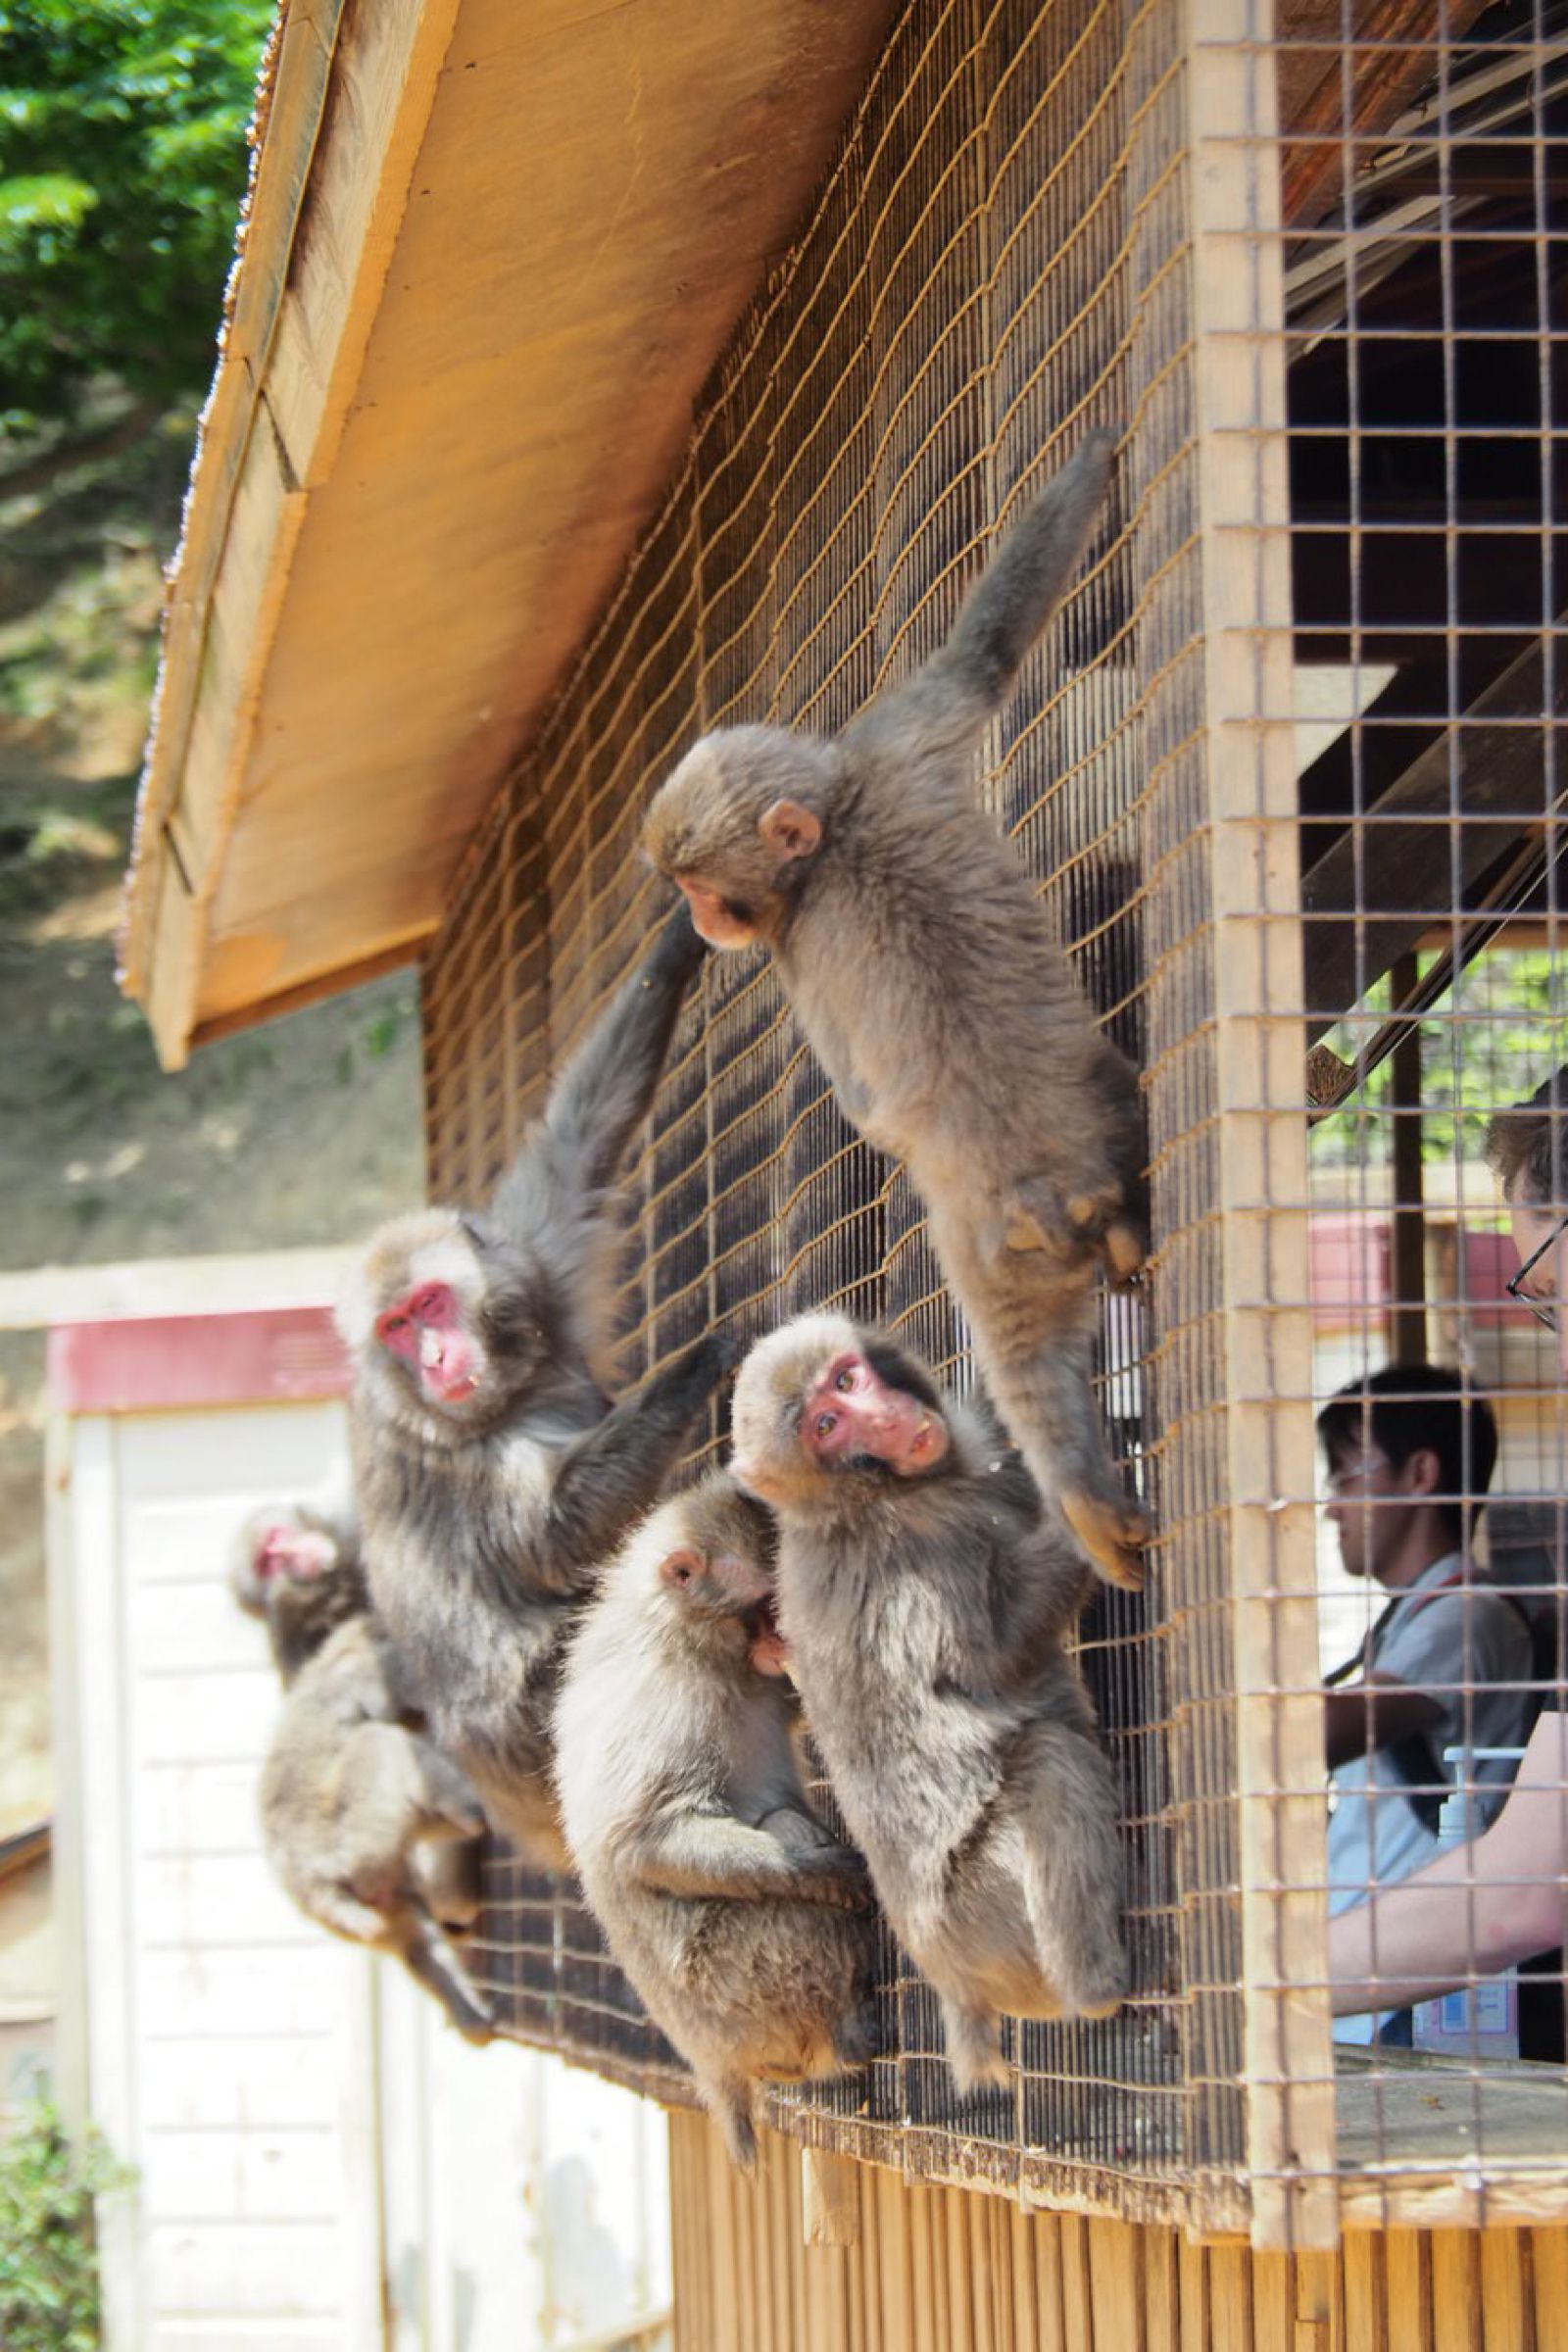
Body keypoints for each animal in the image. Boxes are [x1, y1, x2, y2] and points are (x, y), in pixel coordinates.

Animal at [639, 432, 1152, 1590]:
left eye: (703, 889)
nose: (699, 918)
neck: (833, 835)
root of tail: (1045, 1187)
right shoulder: (891, 751)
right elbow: (985, 653)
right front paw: (1096, 464)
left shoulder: (804, 914)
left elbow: (860, 1093)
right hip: (1050, 1193)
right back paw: (1088, 1488)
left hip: (990, 1234)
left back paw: (1075, 1493)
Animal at [728, 1317, 1133, 2107]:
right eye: (827, 1427)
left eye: (845, 1380)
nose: (882, 1419)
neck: (866, 1499)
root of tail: (951, 1979)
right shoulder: (919, 1555)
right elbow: (993, 1660)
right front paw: (1083, 1518)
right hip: (987, 1916)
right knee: (1052, 1760)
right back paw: (1099, 1992)